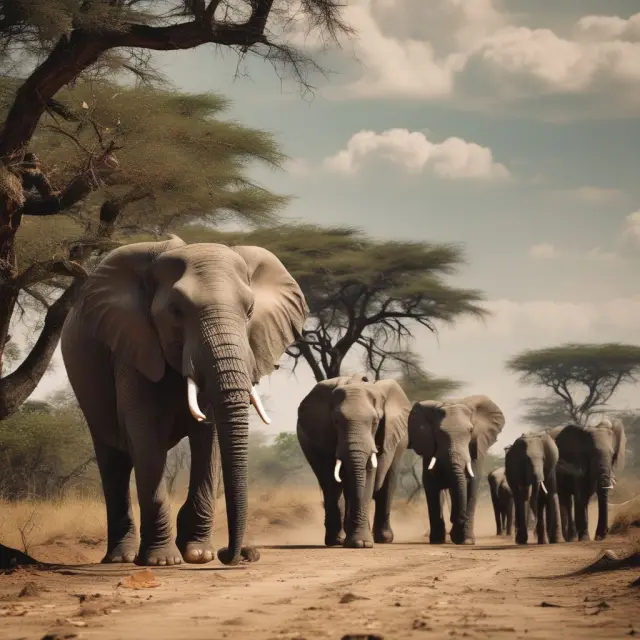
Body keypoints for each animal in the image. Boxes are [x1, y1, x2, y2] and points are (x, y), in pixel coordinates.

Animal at [60, 235, 308, 566]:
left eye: (250, 310)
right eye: (176, 311)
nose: (238, 554)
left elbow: (209, 435)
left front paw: (198, 553)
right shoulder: (133, 345)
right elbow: (145, 433)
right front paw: (162, 560)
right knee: (114, 461)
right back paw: (121, 558)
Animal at [297, 374, 412, 549]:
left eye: (375, 422)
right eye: (336, 422)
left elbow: (369, 474)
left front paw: (362, 543)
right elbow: (331, 479)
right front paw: (349, 541)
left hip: (400, 442)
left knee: (388, 481)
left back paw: (383, 538)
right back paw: (338, 539)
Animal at [408, 395, 505, 545]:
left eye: (471, 431)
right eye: (439, 432)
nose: (454, 519)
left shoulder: (475, 449)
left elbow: (472, 483)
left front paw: (467, 541)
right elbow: (432, 486)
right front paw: (437, 540)